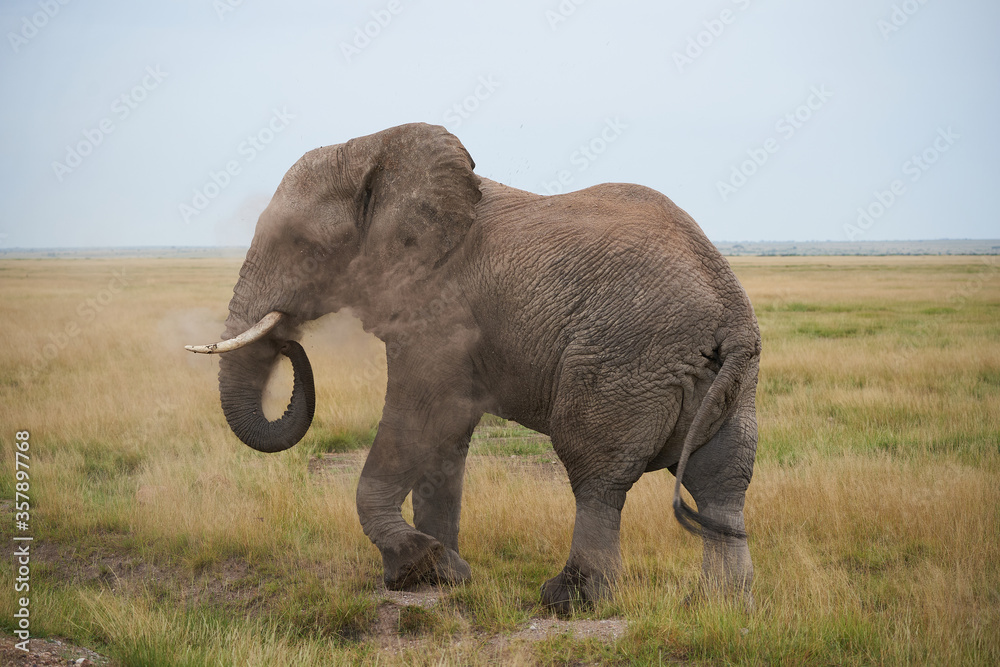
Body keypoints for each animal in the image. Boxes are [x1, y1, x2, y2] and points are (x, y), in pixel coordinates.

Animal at [186, 122, 761, 613]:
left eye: (302, 244)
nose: (289, 339)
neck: (377, 152)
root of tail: (728, 313)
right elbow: (446, 434)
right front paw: (447, 575)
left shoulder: (439, 312)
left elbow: (419, 414)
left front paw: (417, 566)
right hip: (733, 381)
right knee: (723, 480)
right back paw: (721, 605)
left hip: (624, 358)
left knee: (597, 472)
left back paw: (569, 601)